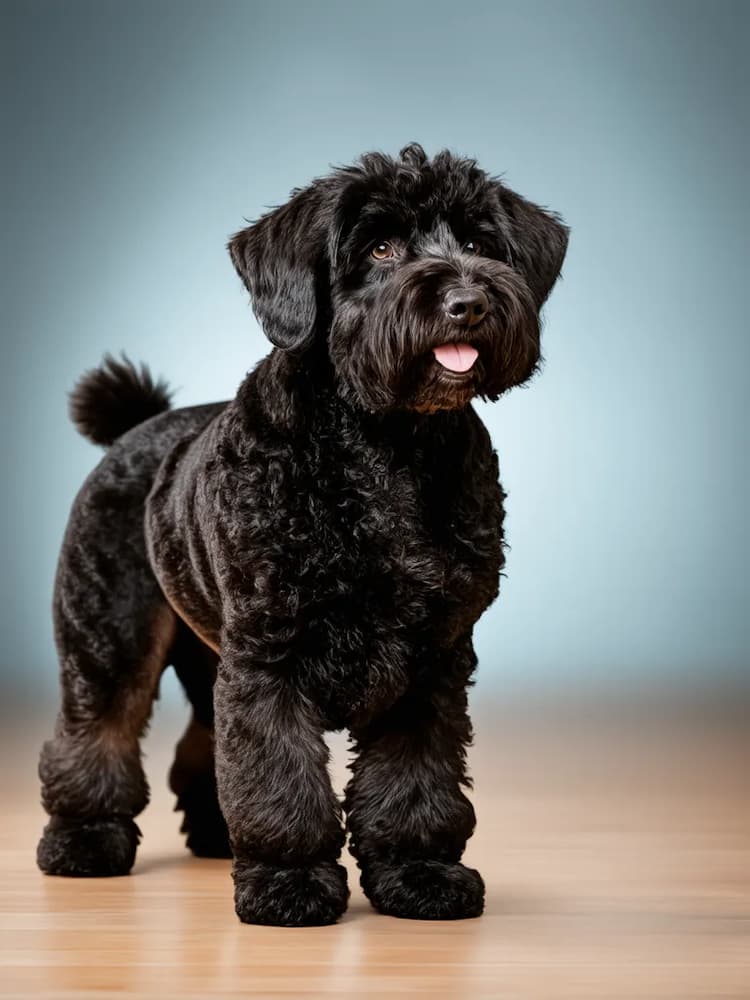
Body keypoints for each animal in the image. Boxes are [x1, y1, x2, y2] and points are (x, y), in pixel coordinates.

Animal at [38, 145, 568, 924]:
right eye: (380, 248)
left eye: (480, 243)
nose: (467, 300)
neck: (389, 448)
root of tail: (137, 428)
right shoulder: (272, 658)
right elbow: (278, 777)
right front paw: (288, 883)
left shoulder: (433, 660)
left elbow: (415, 780)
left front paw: (419, 873)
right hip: (112, 639)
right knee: (94, 735)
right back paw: (82, 840)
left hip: (206, 657)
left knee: (200, 747)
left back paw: (214, 834)